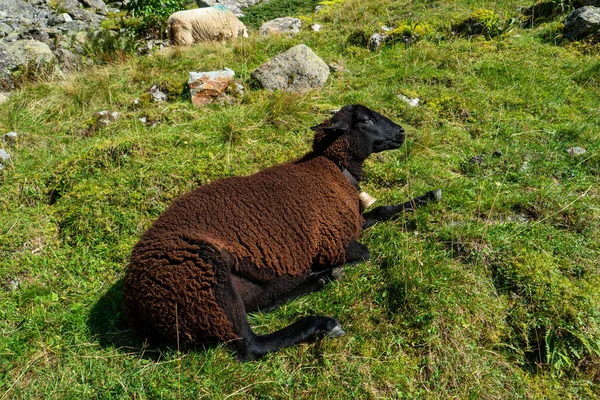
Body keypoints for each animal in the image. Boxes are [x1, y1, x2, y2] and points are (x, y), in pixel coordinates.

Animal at [123, 104, 440, 360]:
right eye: (364, 119)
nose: (401, 132)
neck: (333, 170)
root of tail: (137, 308)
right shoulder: (333, 241)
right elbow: (365, 253)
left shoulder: (352, 224)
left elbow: (383, 210)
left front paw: (428, 196)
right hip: (204, 278)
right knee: (251, 345)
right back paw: (321, 321)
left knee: (261, 306)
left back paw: (320, 279)